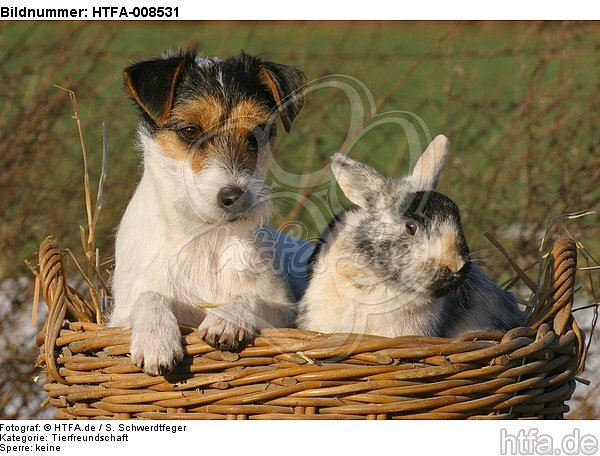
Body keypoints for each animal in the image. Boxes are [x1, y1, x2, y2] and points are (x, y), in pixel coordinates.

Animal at [109, 50, 314, 376]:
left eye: (257, 134)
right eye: (190, 131)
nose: (236, 197)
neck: (204, 235)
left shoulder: (284, 308)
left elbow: (252, 298)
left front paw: (227, 318)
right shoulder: (118, 316)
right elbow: (149, 296)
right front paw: (156, 338)